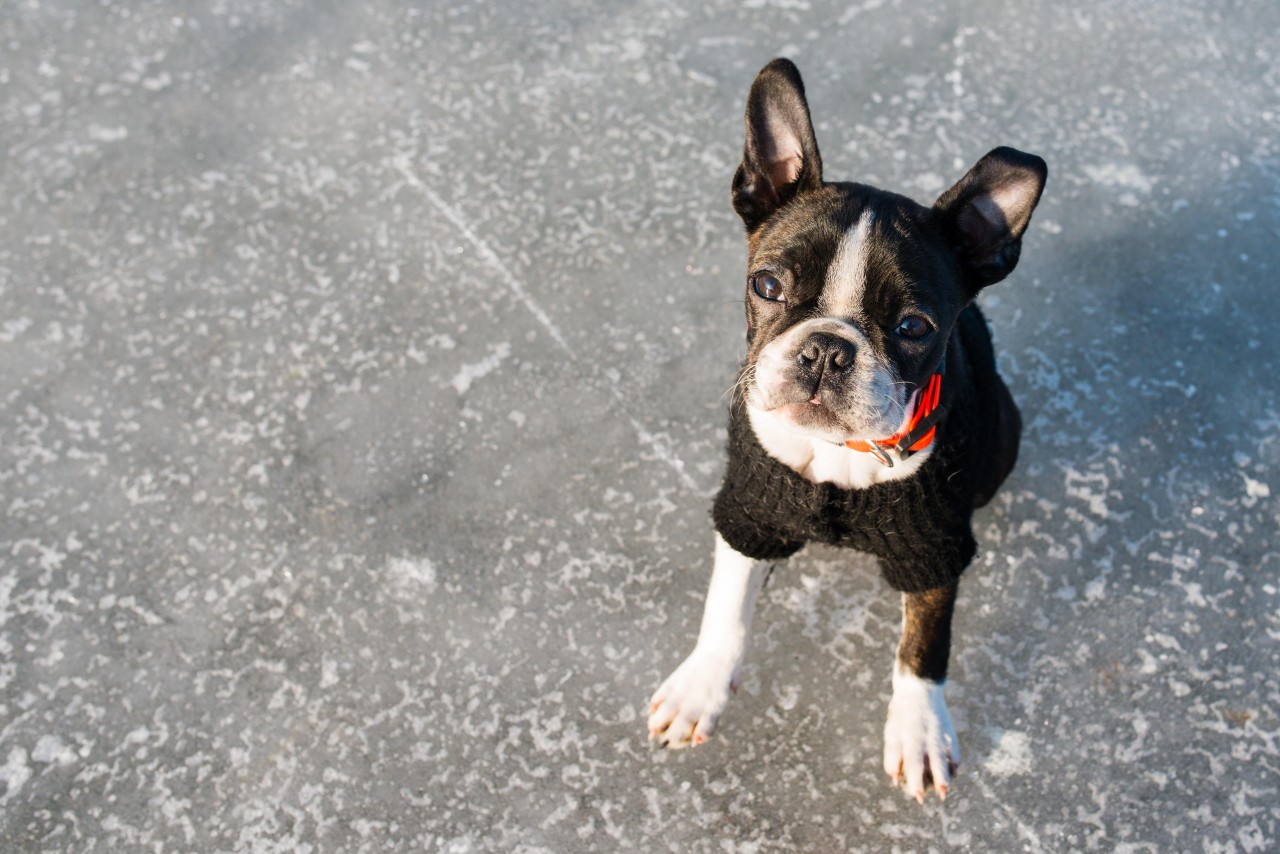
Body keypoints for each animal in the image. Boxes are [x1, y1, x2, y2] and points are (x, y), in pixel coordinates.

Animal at [645, 56, 1044, 804]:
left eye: (914, 327)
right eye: (768, 286)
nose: (827, 349)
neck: (839, 455)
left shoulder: (933, 546)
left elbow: (924, 644)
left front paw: (919, 729)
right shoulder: (749, 510)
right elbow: (727, 607)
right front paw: (702, 687)